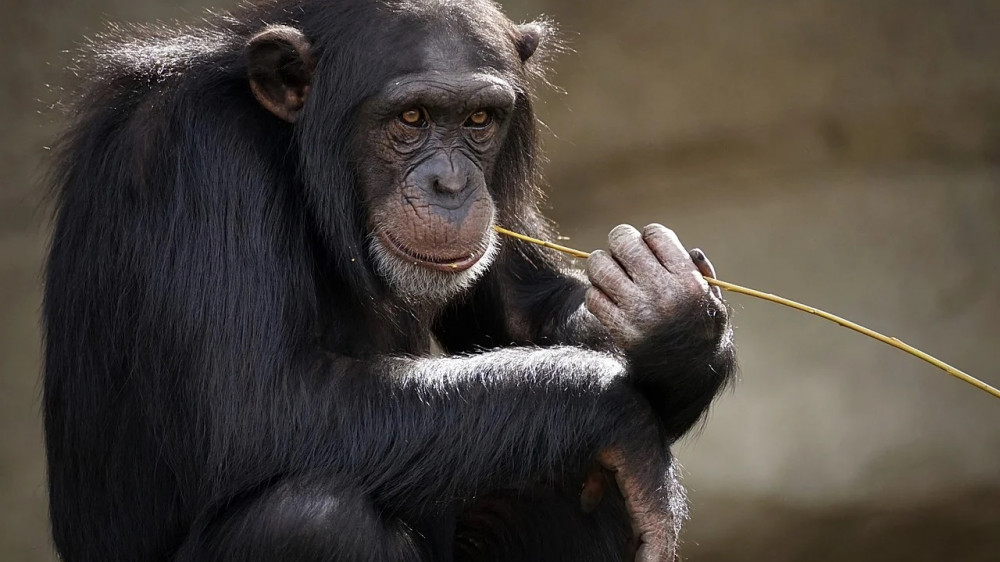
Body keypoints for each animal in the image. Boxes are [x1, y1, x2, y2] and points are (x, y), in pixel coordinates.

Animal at [45, 0, 736, 556]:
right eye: (411, 118)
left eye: (479, 120)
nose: (451, 184)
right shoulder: (200, 153)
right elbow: (255, 404)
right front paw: (620, 415)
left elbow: (520, 311)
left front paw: (671, 317)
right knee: (312, 517)